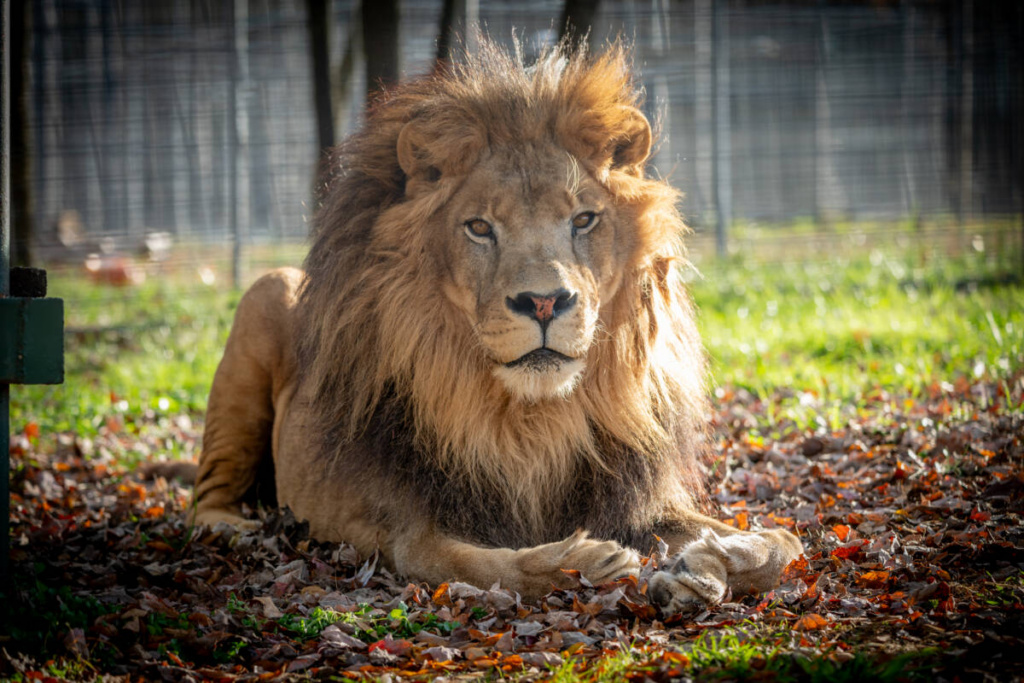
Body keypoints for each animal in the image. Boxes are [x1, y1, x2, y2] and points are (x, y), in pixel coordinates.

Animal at [192, 40, 802, 613]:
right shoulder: (414, 530)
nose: (544, 302)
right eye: (480, 228)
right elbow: (487, 566)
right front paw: (588, 561)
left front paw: (700, 568)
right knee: (206, 498)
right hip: (263, 297)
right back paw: (239, 530)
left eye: (584, 219)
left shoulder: (640, 499)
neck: (534, 419)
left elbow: (783, 541)